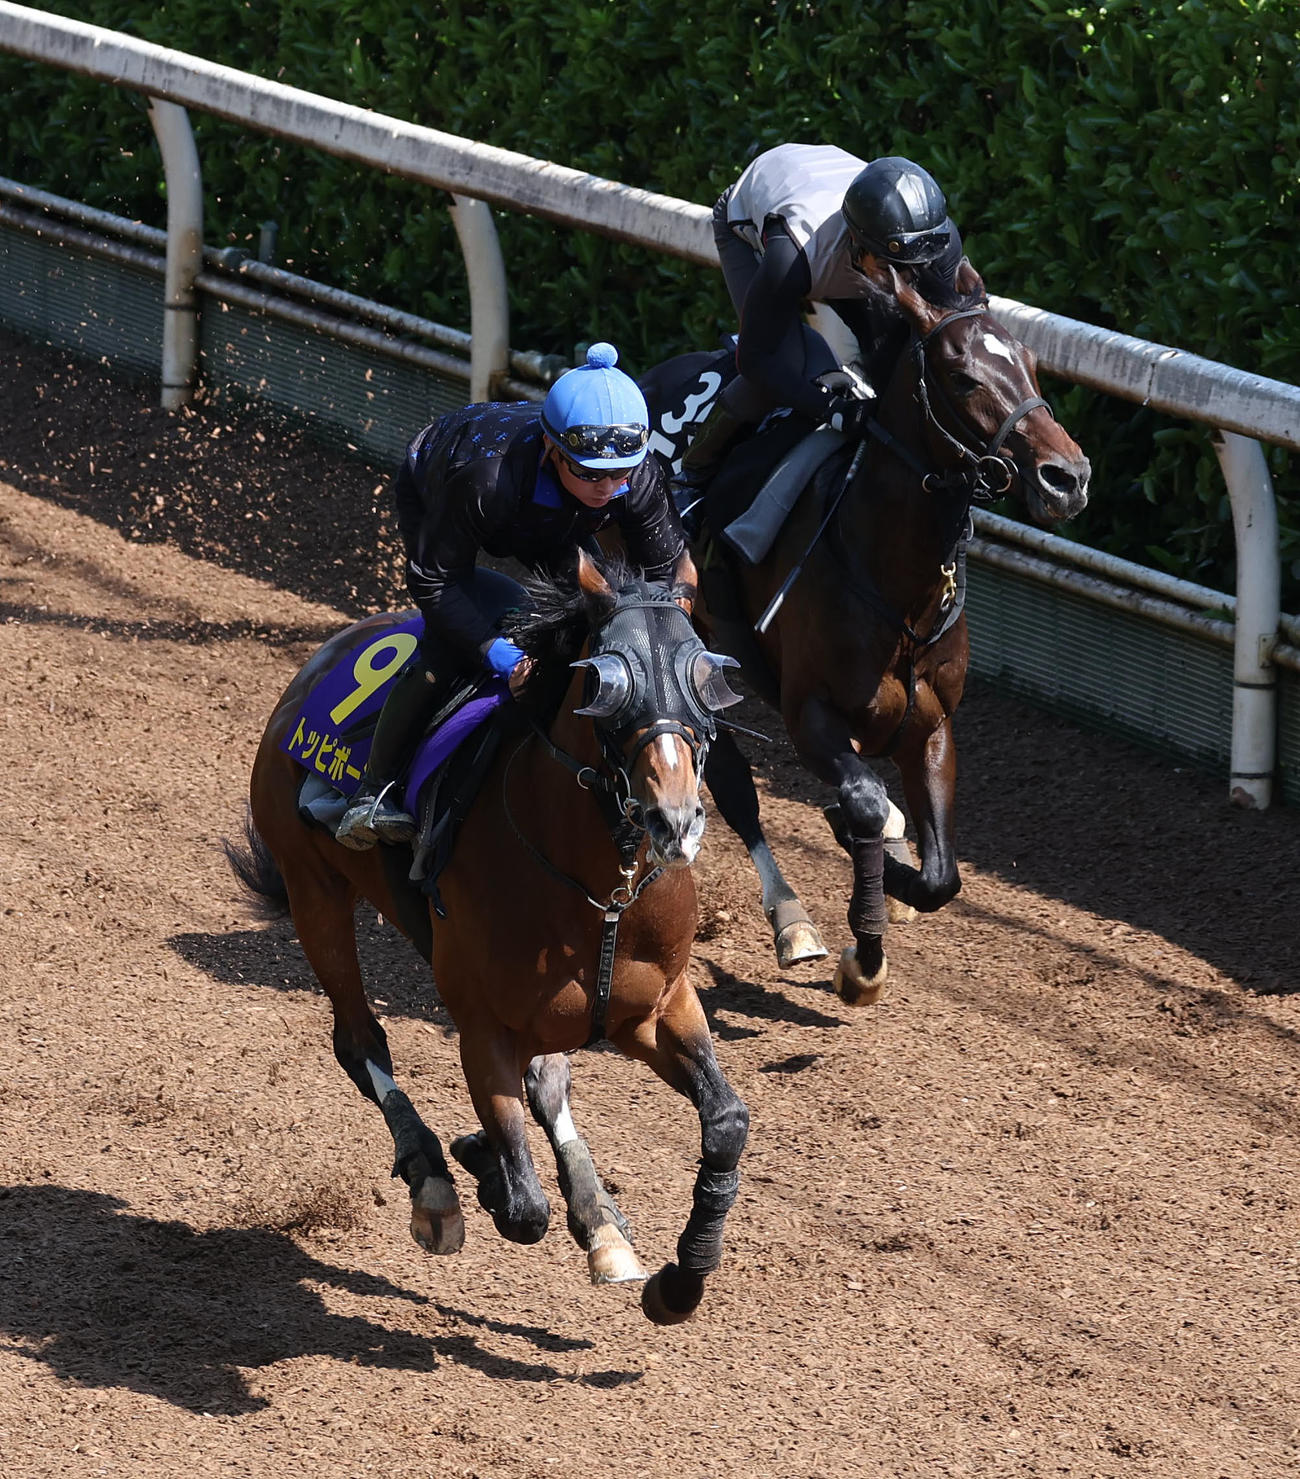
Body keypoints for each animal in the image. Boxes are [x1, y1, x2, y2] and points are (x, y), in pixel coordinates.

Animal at [225, 549, 750, 1326]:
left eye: (707, 678)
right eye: (605, 680)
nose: (675, 819)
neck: (603, 893)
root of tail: (324, 656)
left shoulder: (657, 1008)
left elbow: (727, 1123)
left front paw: (678, 1281)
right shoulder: (482, 1027)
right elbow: (524, 1208)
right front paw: (483, 1167)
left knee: (548, 1078)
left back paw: (599, 1222)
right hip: (312, 886)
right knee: (359, 1038)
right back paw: (436, 1181)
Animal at [642, 264, 1091, 1004]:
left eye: (1030, 365)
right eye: (962, 377)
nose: (1068, 476)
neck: (896, 585)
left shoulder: (930, 723)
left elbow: (940, 874)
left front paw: (892, 887)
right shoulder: (810, 714)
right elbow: (862, 804)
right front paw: (864, 943)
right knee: (734, 788)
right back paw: (792, 921)